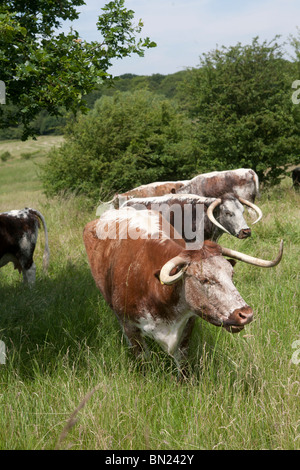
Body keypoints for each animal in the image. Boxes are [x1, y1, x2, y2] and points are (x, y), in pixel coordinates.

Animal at [83, 207, 282, 372]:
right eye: (204, 279)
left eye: (231, 275)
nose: (246, 314)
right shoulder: (131, 328)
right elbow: (143, 359)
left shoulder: (188, 325)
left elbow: (183, 363)